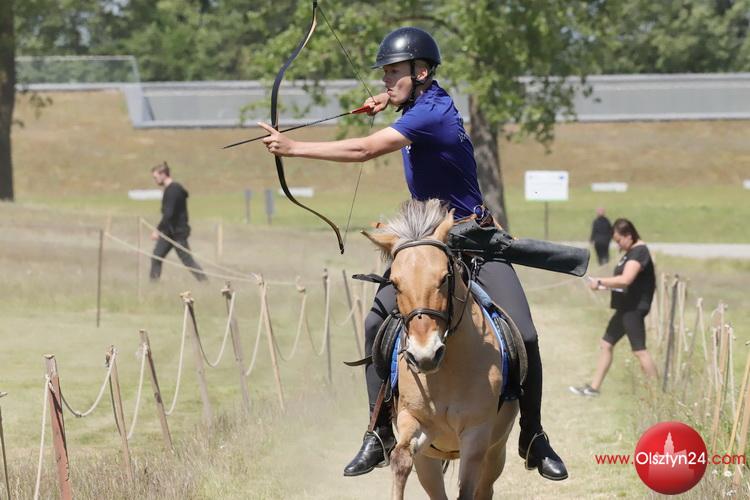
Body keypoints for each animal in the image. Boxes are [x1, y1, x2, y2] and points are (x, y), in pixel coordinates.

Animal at [363, 199, 519, 500]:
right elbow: (400, 458)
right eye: (394, 283)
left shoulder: (476, 435)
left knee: (484, 488)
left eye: (445, 277)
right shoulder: (414, 423)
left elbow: (467, 490)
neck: (447, 372)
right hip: (430, 461)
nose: (424, 355)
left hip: (496, 453)